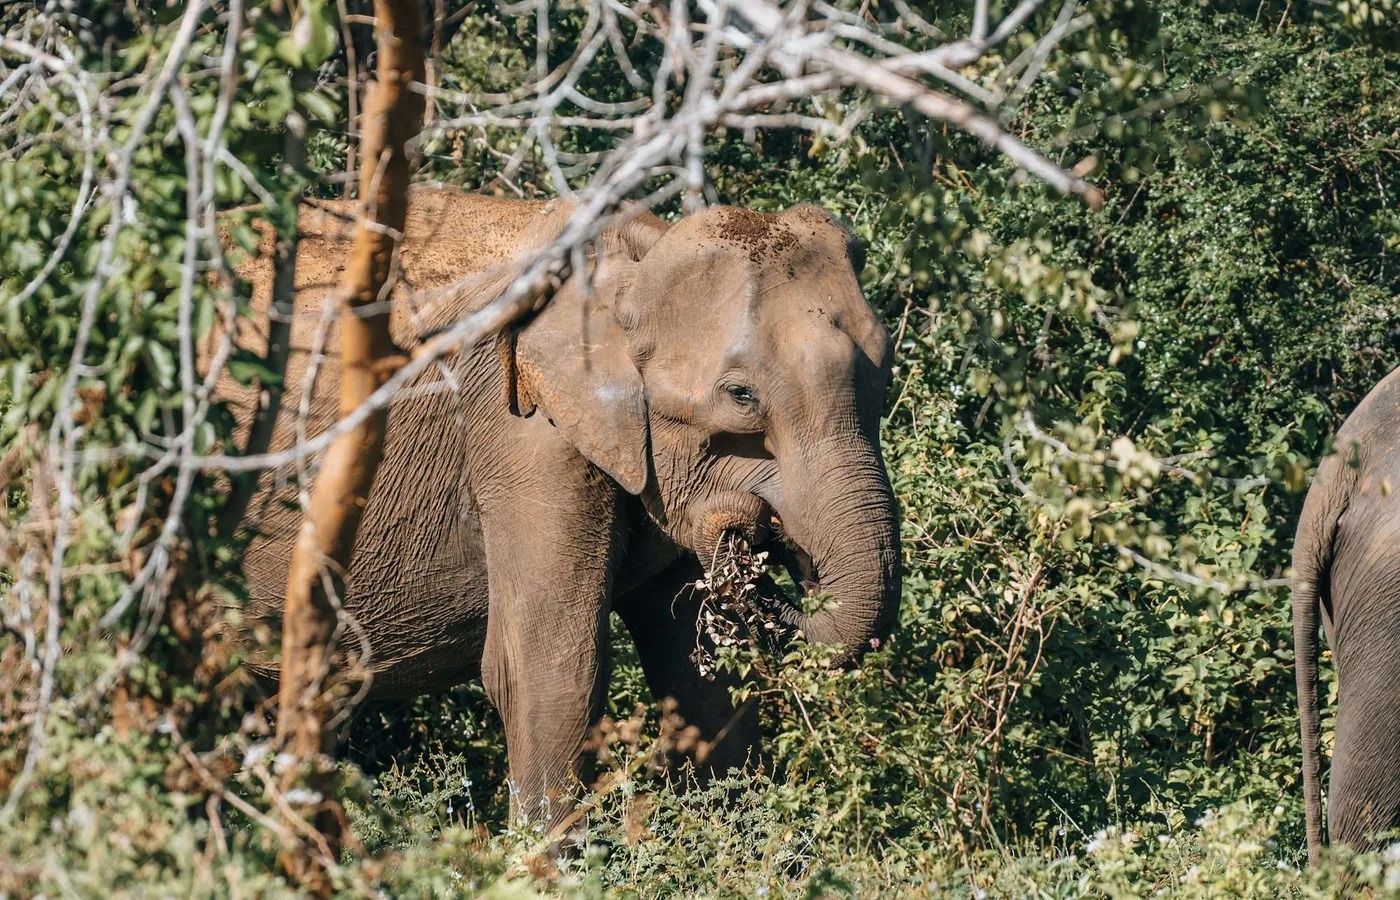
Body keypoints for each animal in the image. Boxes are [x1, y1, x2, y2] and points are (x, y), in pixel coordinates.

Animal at [217, 186, 901, 827]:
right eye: (740, 396)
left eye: (885, 375)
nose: (748, 523)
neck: (631, 262)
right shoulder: (519, 425)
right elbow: (550, 666)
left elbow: (701, 677)